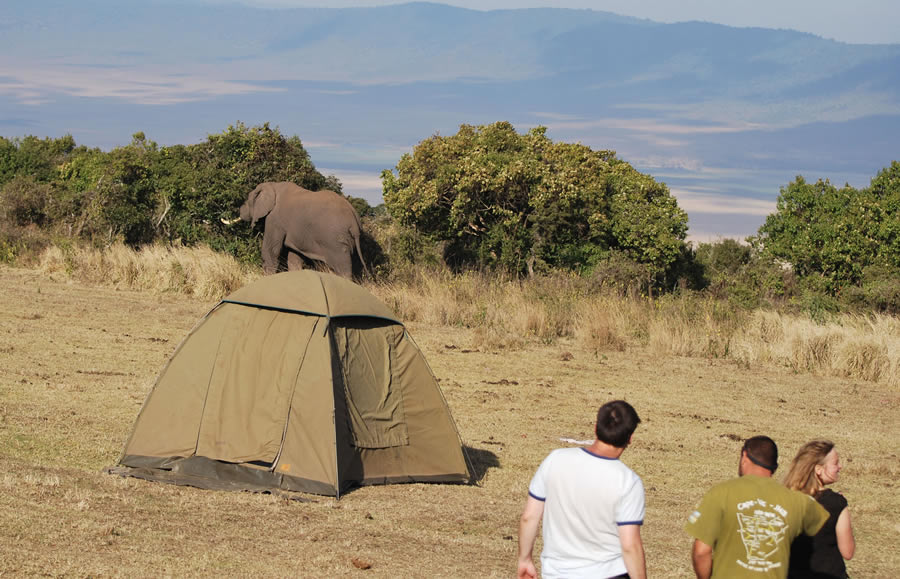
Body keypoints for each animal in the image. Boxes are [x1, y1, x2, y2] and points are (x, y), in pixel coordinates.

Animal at [227, 182, 370, 280]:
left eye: (247, 200)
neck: (273, 186)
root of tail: (354, 222)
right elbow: (294, 256)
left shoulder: (275, 219)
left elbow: (271, 250)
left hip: (336, 241)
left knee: (342, 269)